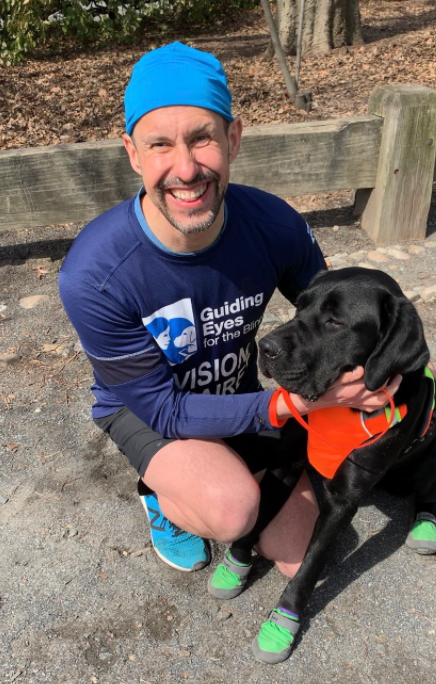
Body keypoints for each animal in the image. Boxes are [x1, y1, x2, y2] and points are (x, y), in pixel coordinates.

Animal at [225, 268, 436, 664]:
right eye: (298, 306)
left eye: (335, 321)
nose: (265, 348)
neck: (342, 411)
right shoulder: (287, 462)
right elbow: (258, 515)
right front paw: (236, 563)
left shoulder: (344, 500)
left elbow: (309, 567)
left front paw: (283, 623)